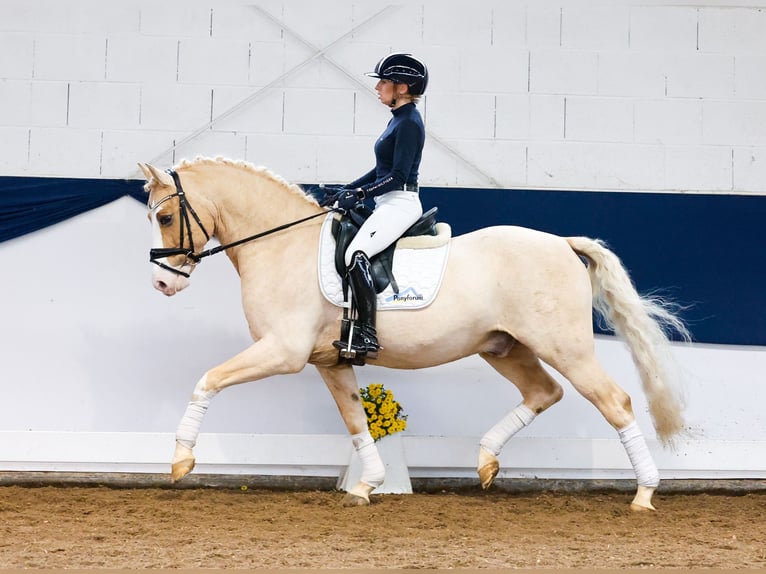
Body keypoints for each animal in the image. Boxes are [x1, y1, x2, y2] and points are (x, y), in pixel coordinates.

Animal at [141, 156, 692, 512]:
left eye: (165, 216)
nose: (163, 284)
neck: (281, 244)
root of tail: (562, 243)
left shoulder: (282, 352)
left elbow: (208, 380)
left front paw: (181, 461)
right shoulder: (329, 362)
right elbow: (355, 420)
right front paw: (368, 486)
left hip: (566, 348)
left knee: (615, 402)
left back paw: (645, 494)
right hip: (504, 347)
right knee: (544, 392)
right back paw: (486, 461)